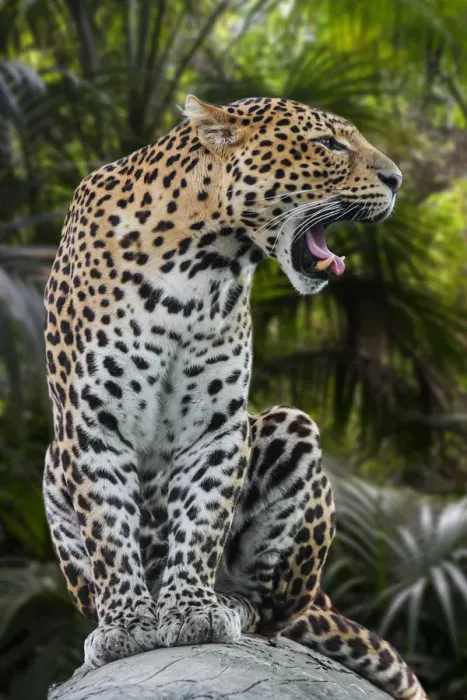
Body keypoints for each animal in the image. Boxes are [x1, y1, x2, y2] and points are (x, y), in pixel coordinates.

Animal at [43, 94, 427, 699]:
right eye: (329, 144)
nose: (397, 179)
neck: (198, 265)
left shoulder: (216, 426)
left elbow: (202, 518)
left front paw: (193, 611)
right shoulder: (92, 420)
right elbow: (108, 526)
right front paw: (125, 624)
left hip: (291, 430)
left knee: (270, 612)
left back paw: (228, 603)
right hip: (52, 473)